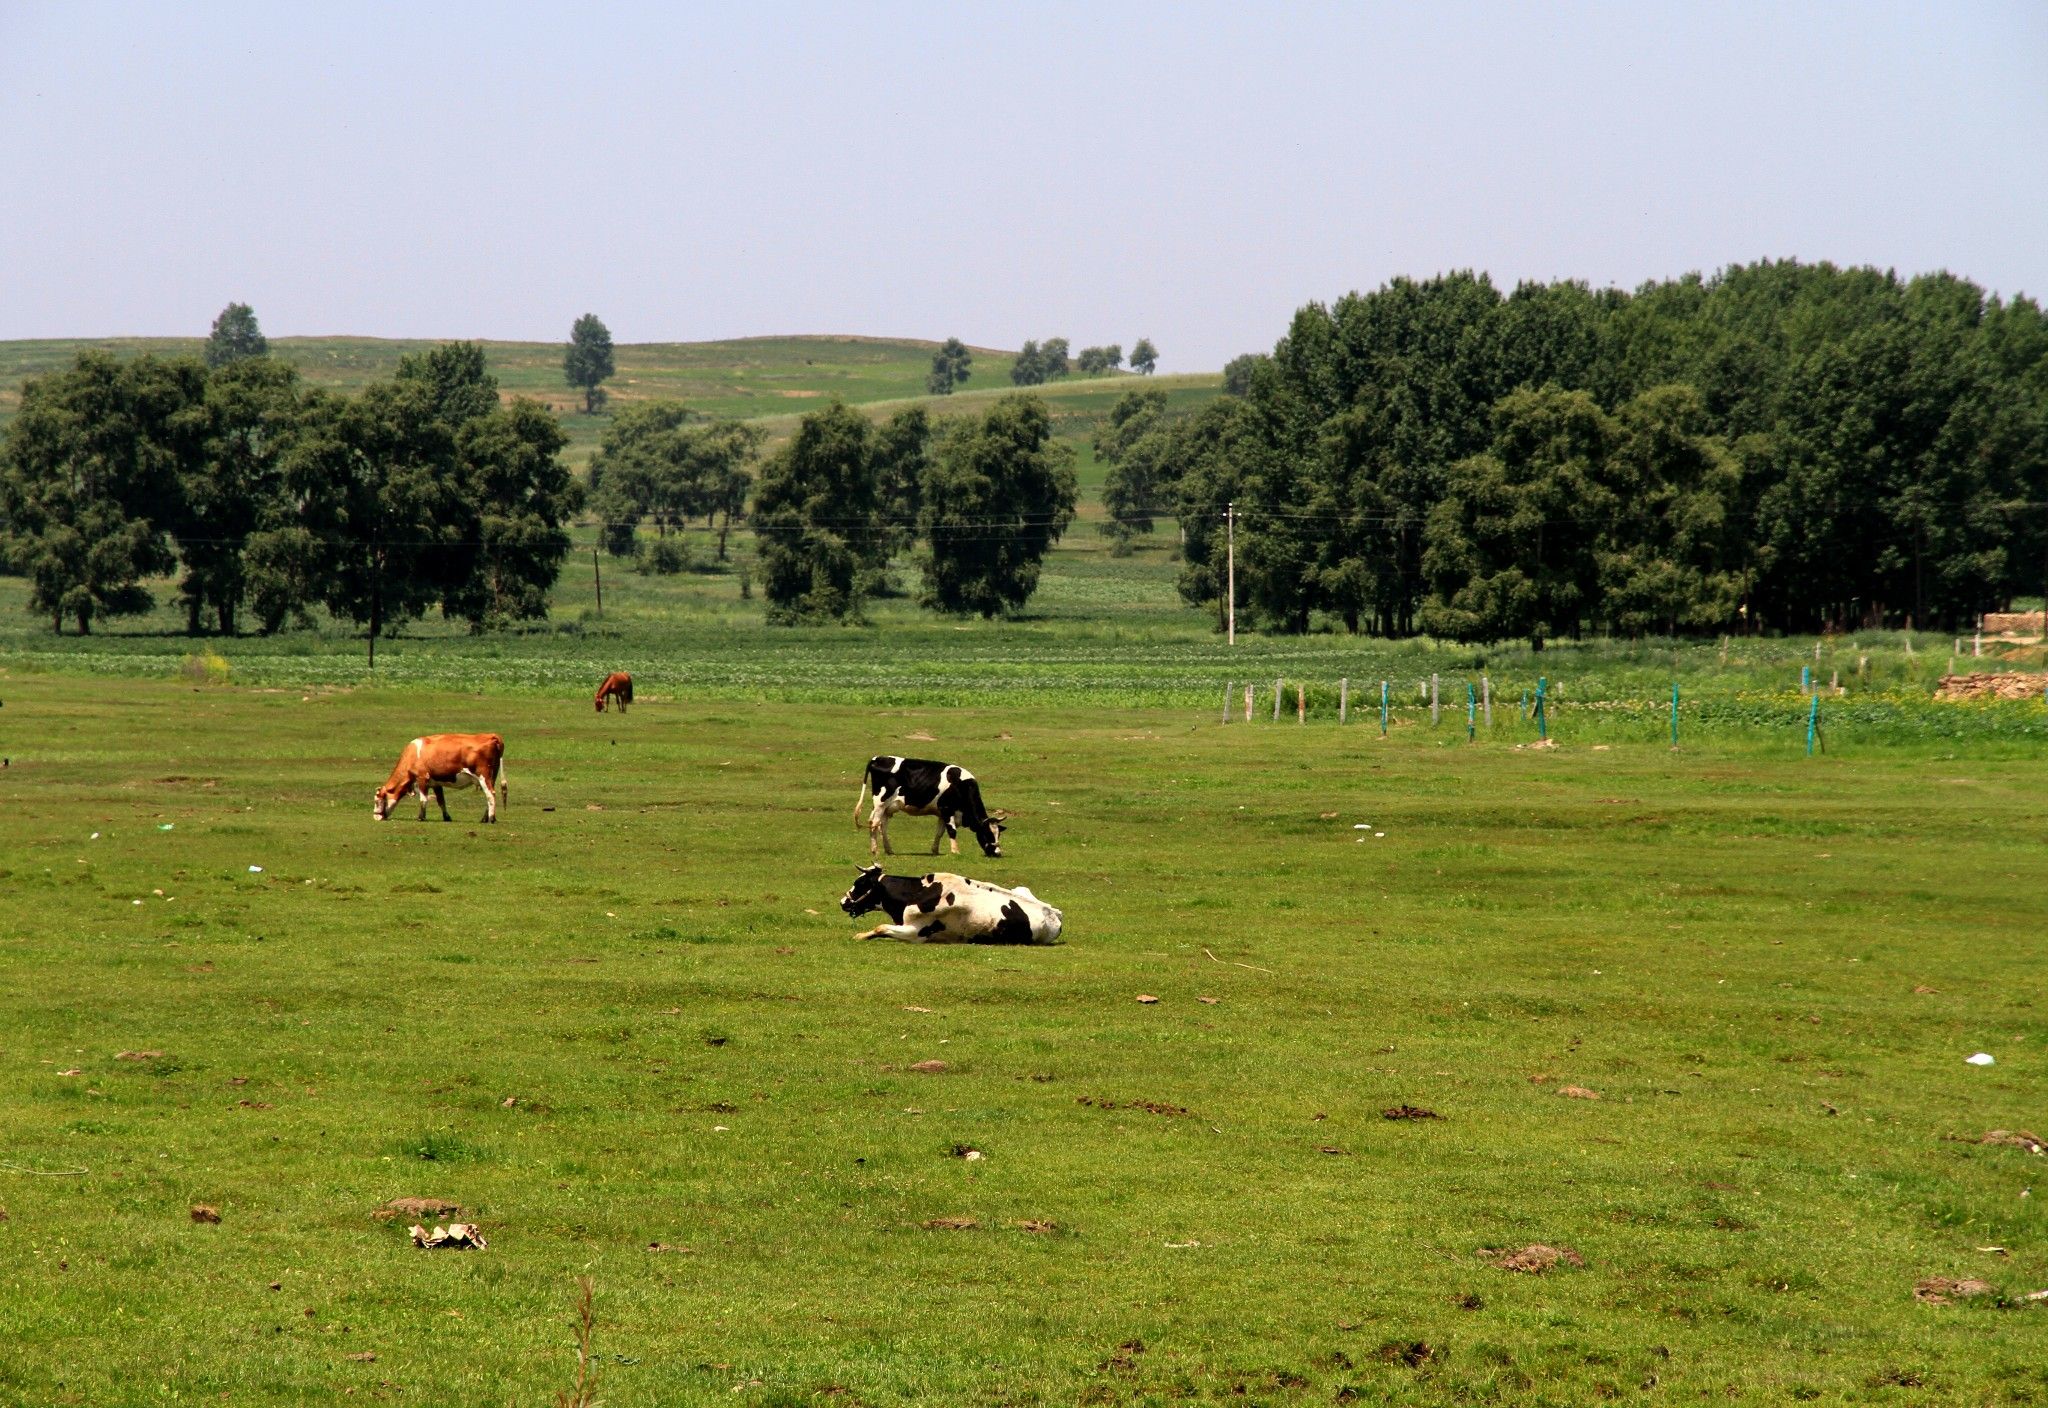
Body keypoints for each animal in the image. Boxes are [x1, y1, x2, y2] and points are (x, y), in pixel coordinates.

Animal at [374, 732, 505, 818]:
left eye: (376, 801)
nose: (376, 817)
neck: (412, 755)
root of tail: (491, 735)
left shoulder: (422, 778)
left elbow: (423, 799)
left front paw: (421, 817)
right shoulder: (436, 783)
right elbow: (441, 801)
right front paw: (447, 817)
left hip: (484, 777)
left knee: (490, 795)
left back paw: (491, 819)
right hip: (492, 777)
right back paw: (485, 818)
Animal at [839, 859, 1064, 945]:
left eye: (859, 883)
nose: (843, 902)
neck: (918, 893)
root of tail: (1055, 913)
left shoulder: (916, 933)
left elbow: (881, 927)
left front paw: (860, 935)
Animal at [851, 757, 1003, 859]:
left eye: (998, 834)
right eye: (987, 834)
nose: (997, 853)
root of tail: (877, 758)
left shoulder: (942, 813)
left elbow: (939, 832)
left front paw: (935, 850)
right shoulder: (947, 809)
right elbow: (952, 831)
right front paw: (956, 851)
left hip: (886, 807)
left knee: (882, 826)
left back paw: (889, 850)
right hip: (880, 803)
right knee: (874, 823)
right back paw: (875, 851)